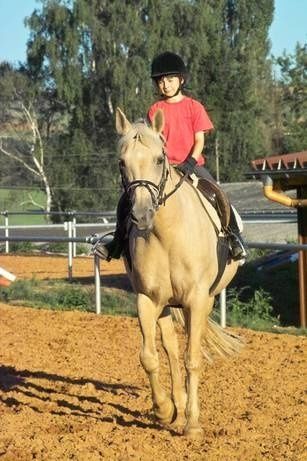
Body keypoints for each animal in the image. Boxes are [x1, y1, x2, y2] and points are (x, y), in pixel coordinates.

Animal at [114, 106, 242, 436]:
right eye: (122, 162)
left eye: (160, 159)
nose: (141, 214)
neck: (167, 234)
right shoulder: (147, 299)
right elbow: (149, 356)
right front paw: (164, 409)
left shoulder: (197, 301)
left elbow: (192, 359)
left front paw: (193, 425)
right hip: (165, 305)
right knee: (170, 350)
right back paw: (176, 405)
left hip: (200, 301)